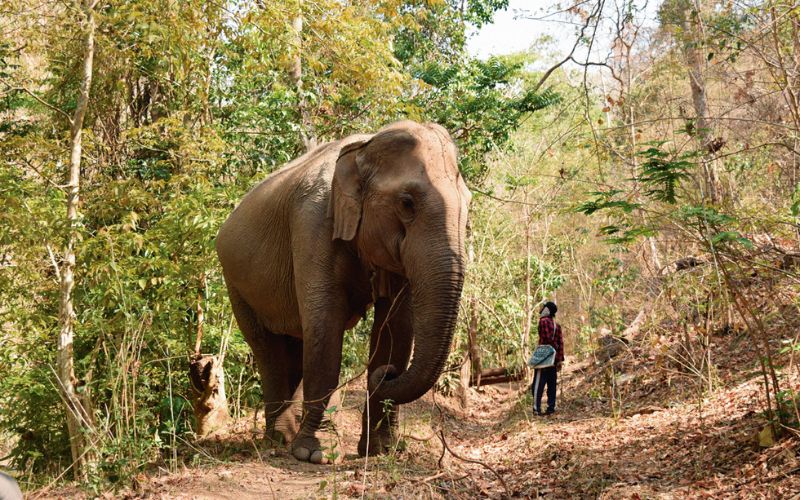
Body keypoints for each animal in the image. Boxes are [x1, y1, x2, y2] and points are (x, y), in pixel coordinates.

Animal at [215, 120, 471, 464]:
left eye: (468, 202)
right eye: (407, 203)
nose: (389, 374)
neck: (363, 147)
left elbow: (396, 328)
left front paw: (381, 451)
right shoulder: (312, 224)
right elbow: (326, 327)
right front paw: (313, 454)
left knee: (296, 344)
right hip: (235, 283)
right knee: (268, 350)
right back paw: (279, 439)